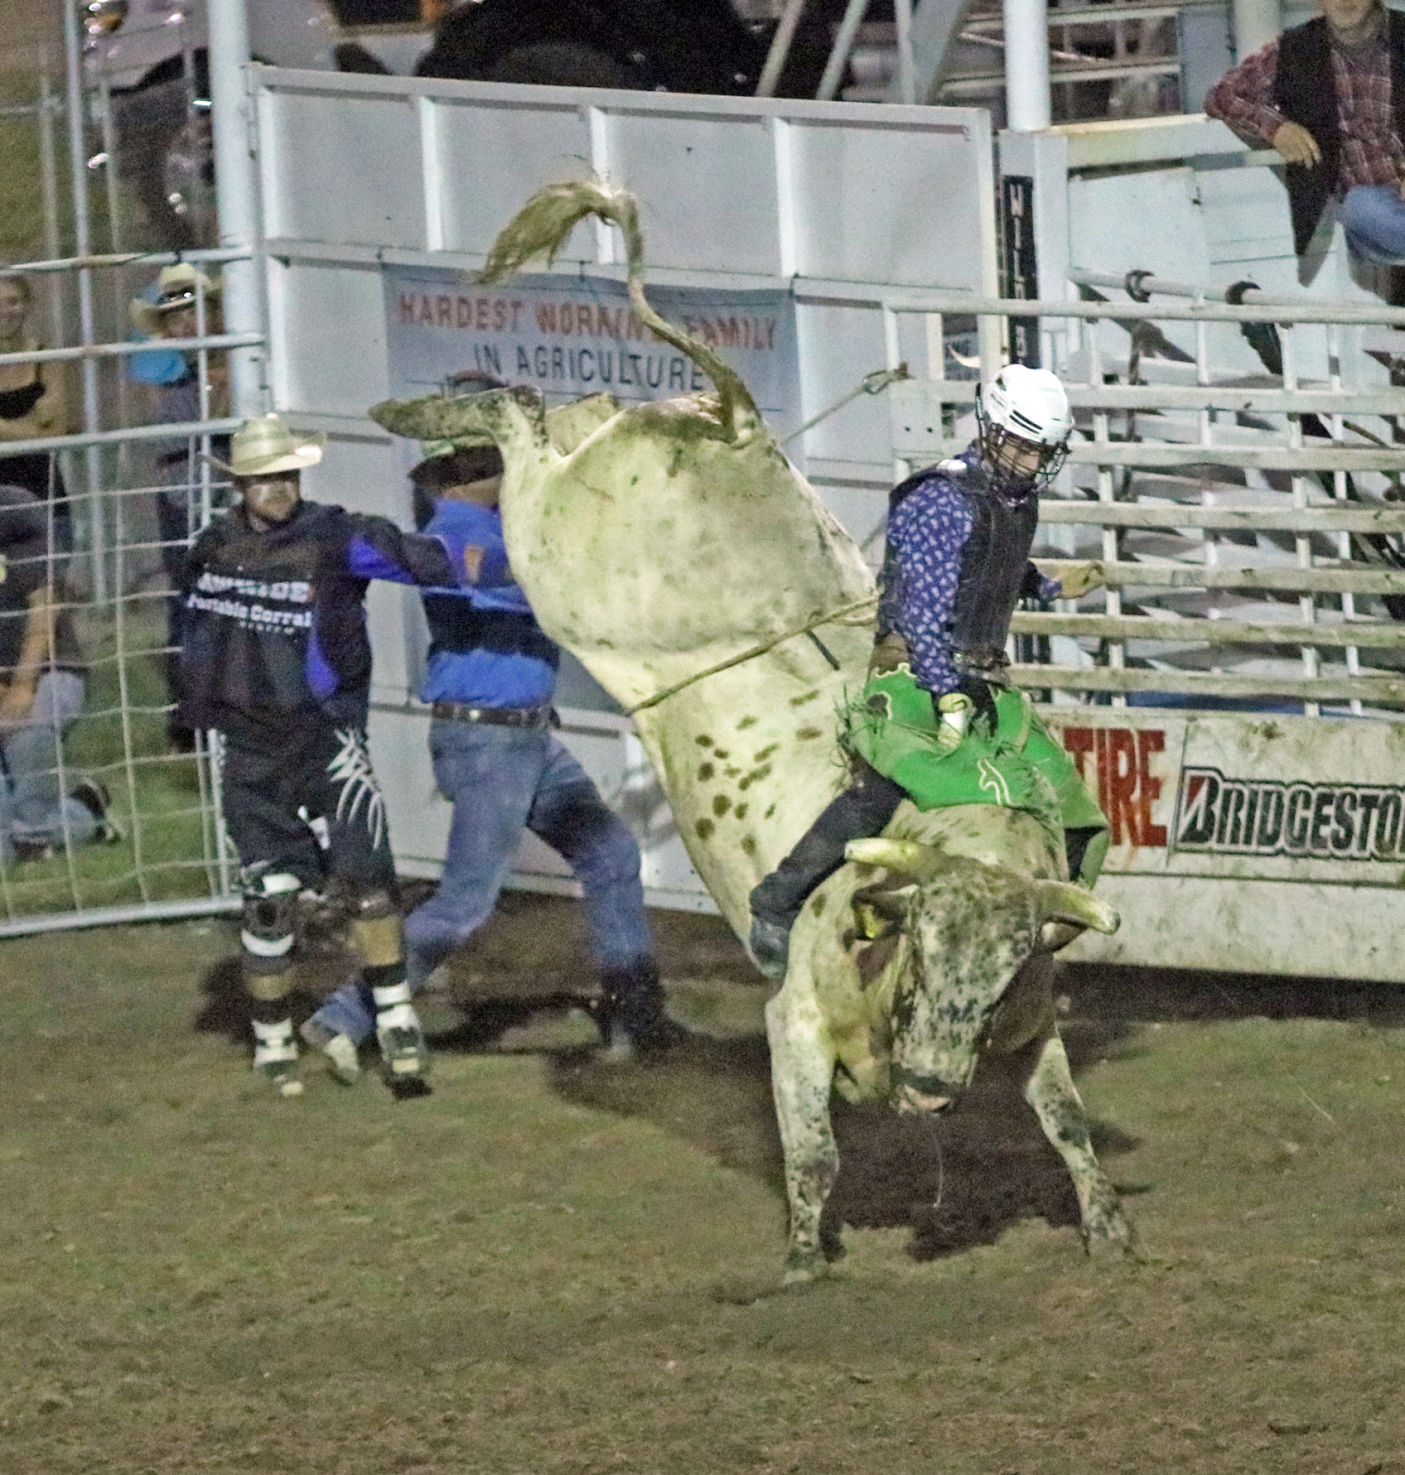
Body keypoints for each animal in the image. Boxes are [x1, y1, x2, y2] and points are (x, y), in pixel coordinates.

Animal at [367, 184, 1132, 1286]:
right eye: (922, 944)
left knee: (549, 411)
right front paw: (805, 1261)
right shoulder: (796, 1021)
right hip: (556, 550)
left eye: (996, 974)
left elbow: (1066, 1121)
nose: (933, 1086)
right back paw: (423, 416)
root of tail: (731, 425)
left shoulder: (1033, 1025)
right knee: (516, 420)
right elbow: (812, 1151)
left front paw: (1108, 1227)